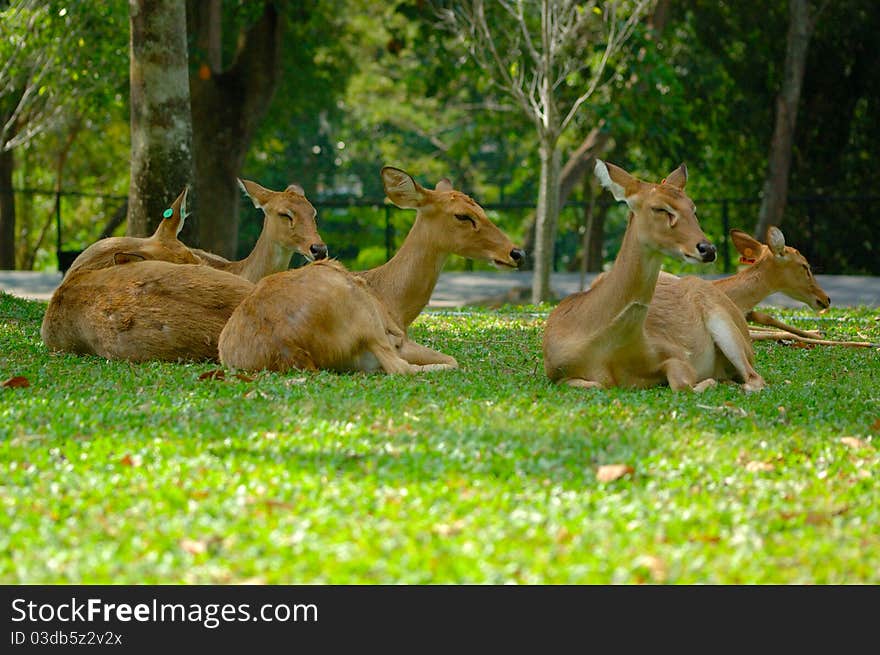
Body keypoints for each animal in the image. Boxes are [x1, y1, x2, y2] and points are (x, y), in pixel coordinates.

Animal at [217, 167, 524, 374]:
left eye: (481, 207)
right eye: (462, 215)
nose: (516, 253)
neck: (393, 300)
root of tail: (287, 347)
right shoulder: (396, 336)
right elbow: (449, 359)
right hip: (363, 318)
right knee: (403, 368)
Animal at [544, 161, 764, 392]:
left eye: (693, 208)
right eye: (659, 208)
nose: (708, 249)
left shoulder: (674, 353)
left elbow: (681, 383)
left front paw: (708, 382)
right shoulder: (557, 373)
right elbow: (596, 385)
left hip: (723, 323)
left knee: (754, 379)